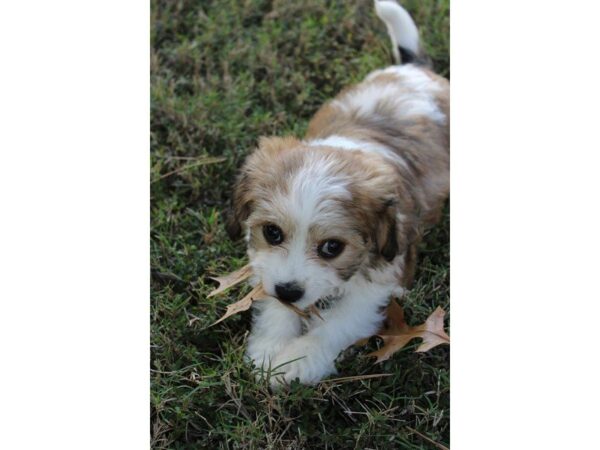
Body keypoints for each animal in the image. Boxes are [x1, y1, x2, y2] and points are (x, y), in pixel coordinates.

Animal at [227, 0, 448, 386]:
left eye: (332, 248)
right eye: (272, 233)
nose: (289, 290)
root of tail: (415, 69)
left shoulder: (381, 281)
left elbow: (337, 324)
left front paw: (296, 361)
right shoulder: (267, 266)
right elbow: (274, 305)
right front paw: (270, 349)